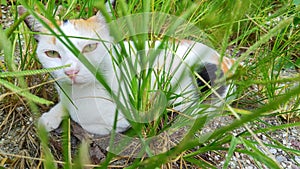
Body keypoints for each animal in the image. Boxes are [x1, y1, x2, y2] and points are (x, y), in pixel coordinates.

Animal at [17, 4, 236, 135]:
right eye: (52, 53)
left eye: (90, 47)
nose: (71, 72)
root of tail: (228, 59)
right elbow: (63, 104)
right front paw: (49, 117)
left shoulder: (129, 114)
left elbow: (86, 121)